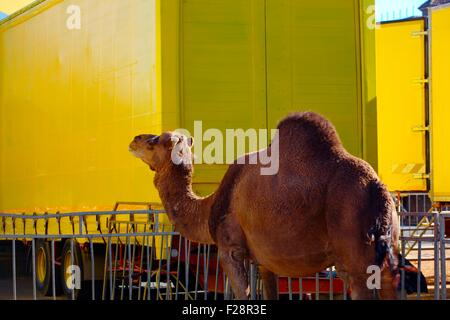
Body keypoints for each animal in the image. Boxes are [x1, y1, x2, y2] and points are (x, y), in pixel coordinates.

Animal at [128, 112, 400, 300]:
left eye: (154, 141)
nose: (134, 139)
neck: (210, 206)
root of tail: (377, 188)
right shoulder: (266, 261)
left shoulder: (229, 249)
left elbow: (243, 294)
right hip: (388, 249)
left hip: (355, 253)